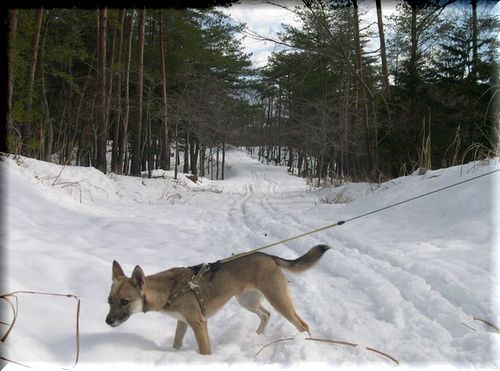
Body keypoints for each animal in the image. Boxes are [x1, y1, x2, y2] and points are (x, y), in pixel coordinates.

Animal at [105, 246, 330, 356]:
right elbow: (176, 344)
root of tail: (269, 256)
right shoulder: (182, 322)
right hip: (247, 301)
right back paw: (257, 336)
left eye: (124, 301)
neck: (170, 290)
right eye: (109, 300)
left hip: (278, 300)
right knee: (266, 315)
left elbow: (205, 351)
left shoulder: (198, 324)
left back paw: (307, 345)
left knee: (302, 324)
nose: (107, 322)